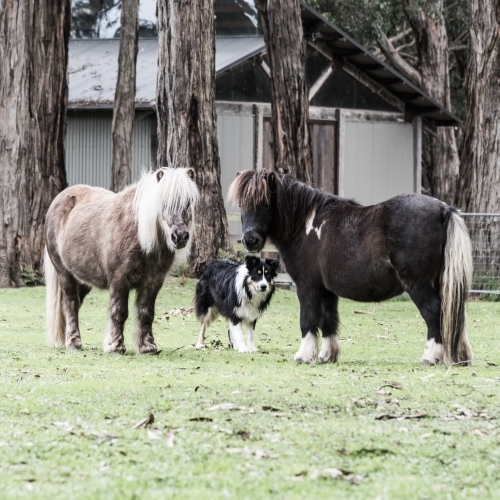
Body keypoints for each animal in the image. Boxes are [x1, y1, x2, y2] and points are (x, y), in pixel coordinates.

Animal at [229, 170, 474, 366]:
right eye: (242, 205)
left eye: (265, 203)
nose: (250, 240)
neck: (306, 226)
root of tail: (443, 209)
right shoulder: (327, 291)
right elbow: (328, 320)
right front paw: (327, 356)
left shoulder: (308, 286)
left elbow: (308, 319)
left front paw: (304, 356)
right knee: (456, 314)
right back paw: (460, 357)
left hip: (418, 284)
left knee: (434, 312)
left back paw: (431, 357)